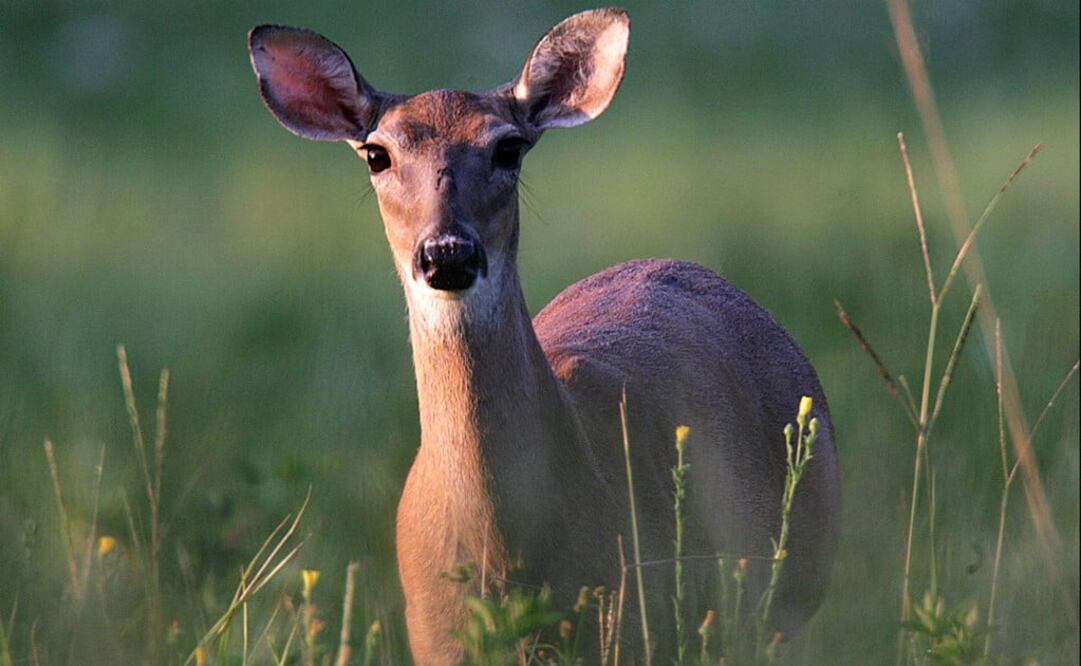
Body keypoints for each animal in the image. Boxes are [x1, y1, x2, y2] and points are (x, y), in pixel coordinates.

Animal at [248, 7, 840, 664]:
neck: (510, 561)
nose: (446, 253)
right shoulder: (432, 636)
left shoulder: (638, 620)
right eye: (376, 154)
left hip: (779, 600)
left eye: (509, 147)